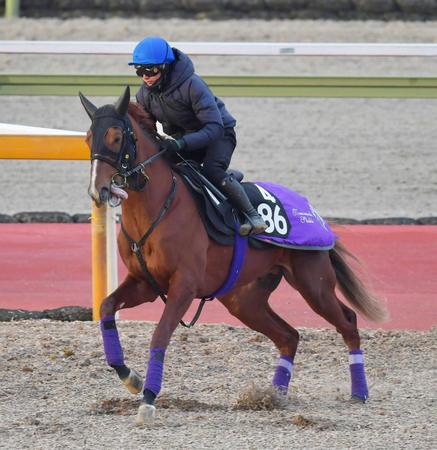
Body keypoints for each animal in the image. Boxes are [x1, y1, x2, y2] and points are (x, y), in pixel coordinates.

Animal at [80, 87, 386, 426]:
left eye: (117, 136)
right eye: (88, 138)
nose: (99, 189)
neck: (159, 207)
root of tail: (314, 213)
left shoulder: (183, 286)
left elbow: (159, 336)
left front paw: (148, 399)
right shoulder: (144, 283)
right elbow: (107, 307)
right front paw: (130, 377)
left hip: (313, 284)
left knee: (348, 322)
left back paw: (359, 391)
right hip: (244, 300)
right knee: (289, 336)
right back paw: (275, 395)